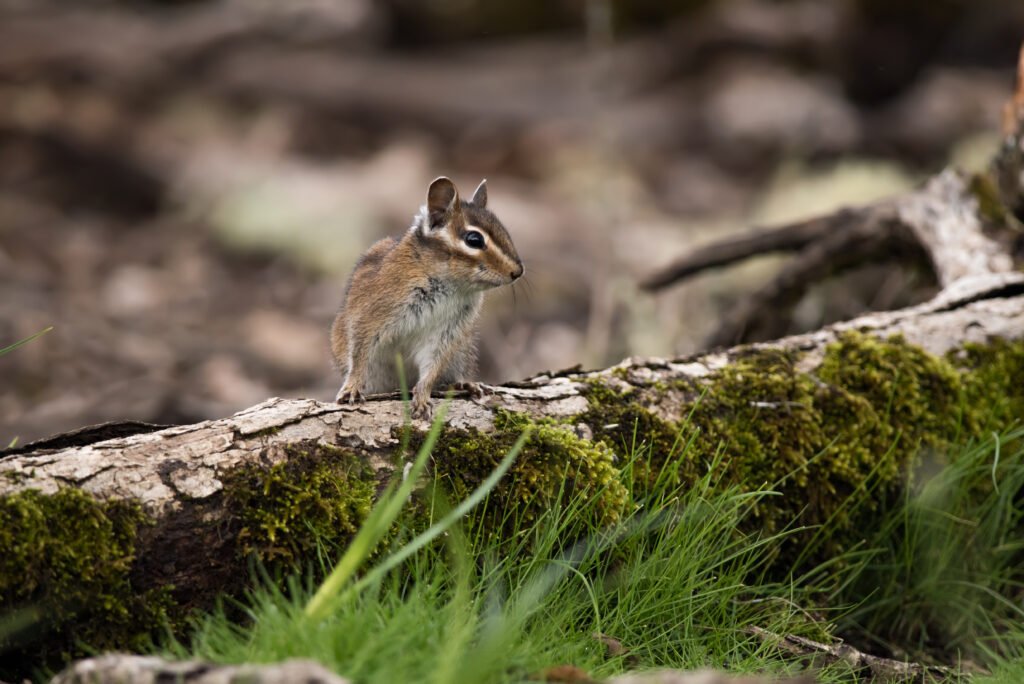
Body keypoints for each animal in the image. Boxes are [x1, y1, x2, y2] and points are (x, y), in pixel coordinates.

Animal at [330, 176, 524, 419]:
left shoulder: (448, 331)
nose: (518, 271)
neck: (452, 286)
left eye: (503, 230)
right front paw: (352, 387)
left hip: (462, 352)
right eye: (474, 239)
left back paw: (463, 384)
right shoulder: (372, 313)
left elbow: (433, 365)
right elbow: (359, 352)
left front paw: (422, 396)